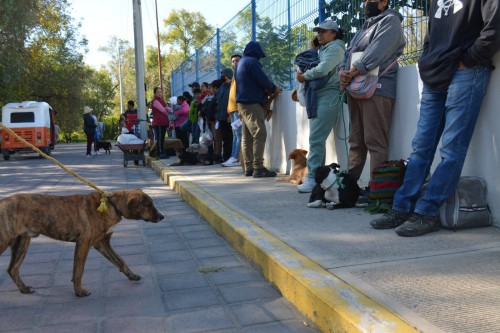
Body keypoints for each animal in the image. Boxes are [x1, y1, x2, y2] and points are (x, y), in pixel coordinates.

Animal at [0, 189, 164, 296]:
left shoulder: (102, 244)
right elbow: (79, 270)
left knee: (12, 269)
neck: (112, 205)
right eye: (148, 205)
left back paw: (24, 289)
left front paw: (132, 275)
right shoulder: (84, 243)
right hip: (5, 241)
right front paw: (79, 292)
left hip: (22, 242)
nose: (162, 217)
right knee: (12, 268)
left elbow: (120, 261)